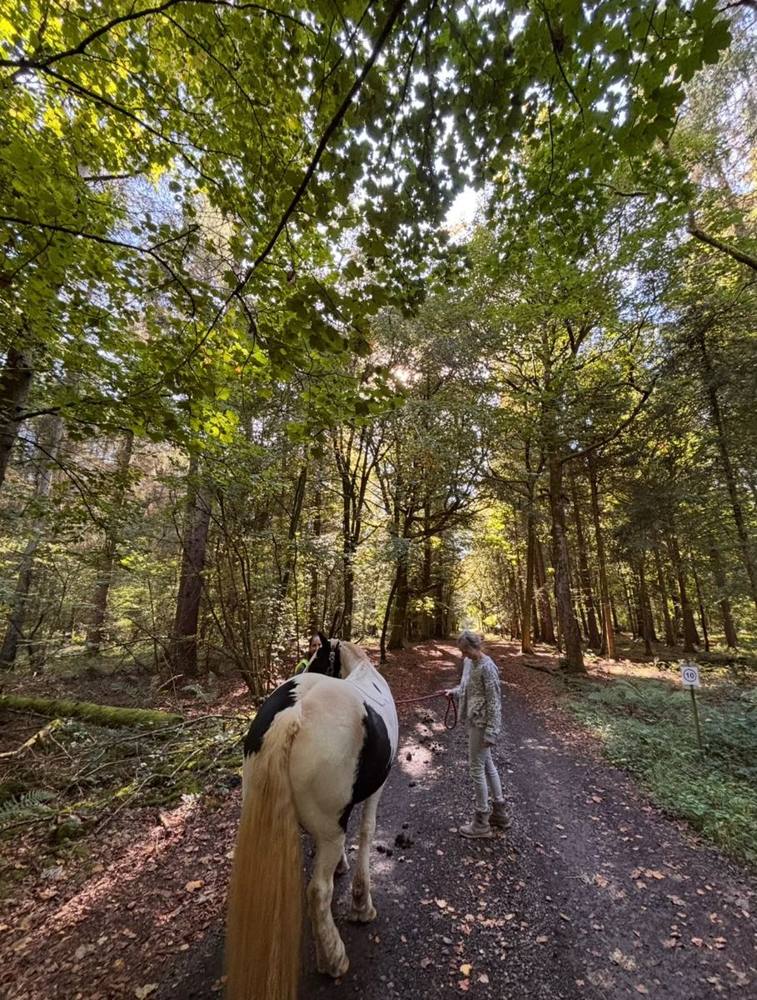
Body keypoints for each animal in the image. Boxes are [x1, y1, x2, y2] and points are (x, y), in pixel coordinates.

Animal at [226, 638, 399, 1000]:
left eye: (318, 658)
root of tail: (294, 713)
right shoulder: (376, 791)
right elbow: (366, 831)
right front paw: (361, 904)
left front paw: (342, 868)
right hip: (331, 830)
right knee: (318, 892)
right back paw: (333, 958)